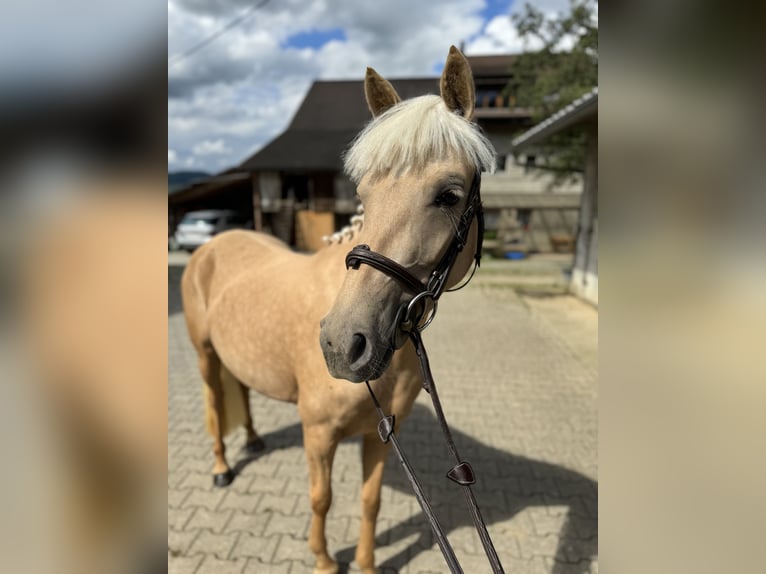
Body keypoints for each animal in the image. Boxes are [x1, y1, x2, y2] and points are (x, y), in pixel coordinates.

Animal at [182, 46, 498, 574]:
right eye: (364, 195)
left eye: (449, 195)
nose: (342, 344)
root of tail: (210, 245)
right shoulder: (320, 434)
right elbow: (321, 499)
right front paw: (326, 561)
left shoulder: (381, 435)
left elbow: (370, 502)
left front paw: (366, 564)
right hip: (204, 355)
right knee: (212, 401)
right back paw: (223, 467)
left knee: (240, 390)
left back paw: (253, 441)